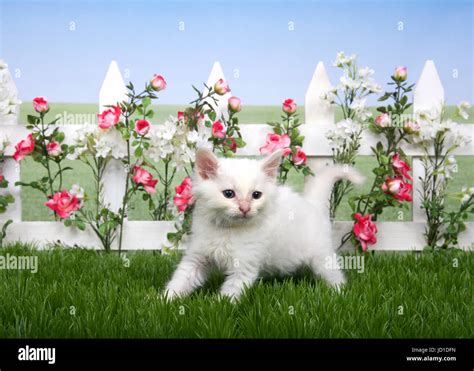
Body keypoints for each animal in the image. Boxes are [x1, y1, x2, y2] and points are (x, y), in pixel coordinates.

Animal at [165, 148, 364, 302]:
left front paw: (218, 308)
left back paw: (339, 293)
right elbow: (181, 279)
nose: (245, 208)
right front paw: (165, 301)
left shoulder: (244, 267)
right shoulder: (196, 257)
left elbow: (229, 294)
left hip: (321, 257)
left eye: (256, 195)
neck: (228, 230)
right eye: (228, 194)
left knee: (335, 276)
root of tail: (311, 204)